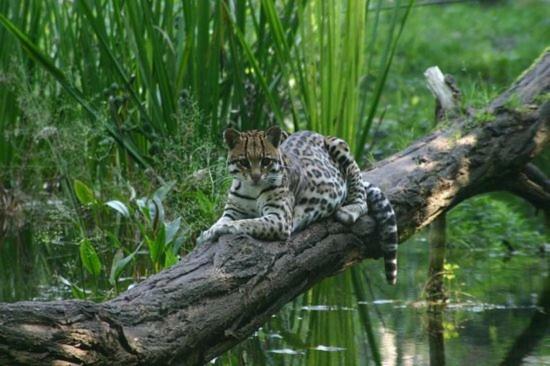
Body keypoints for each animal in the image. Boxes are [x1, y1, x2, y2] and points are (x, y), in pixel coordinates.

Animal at [198, 126, 402, 284]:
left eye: (266, 161)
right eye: (244, 162)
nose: (256, 177)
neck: (251, 189)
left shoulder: (279, 219)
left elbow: (246, 223)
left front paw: (218, 230)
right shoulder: (232, 210)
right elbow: (223, 220)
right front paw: (208, 231)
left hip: (339, 144)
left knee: (360, 192)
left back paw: (349, 210)